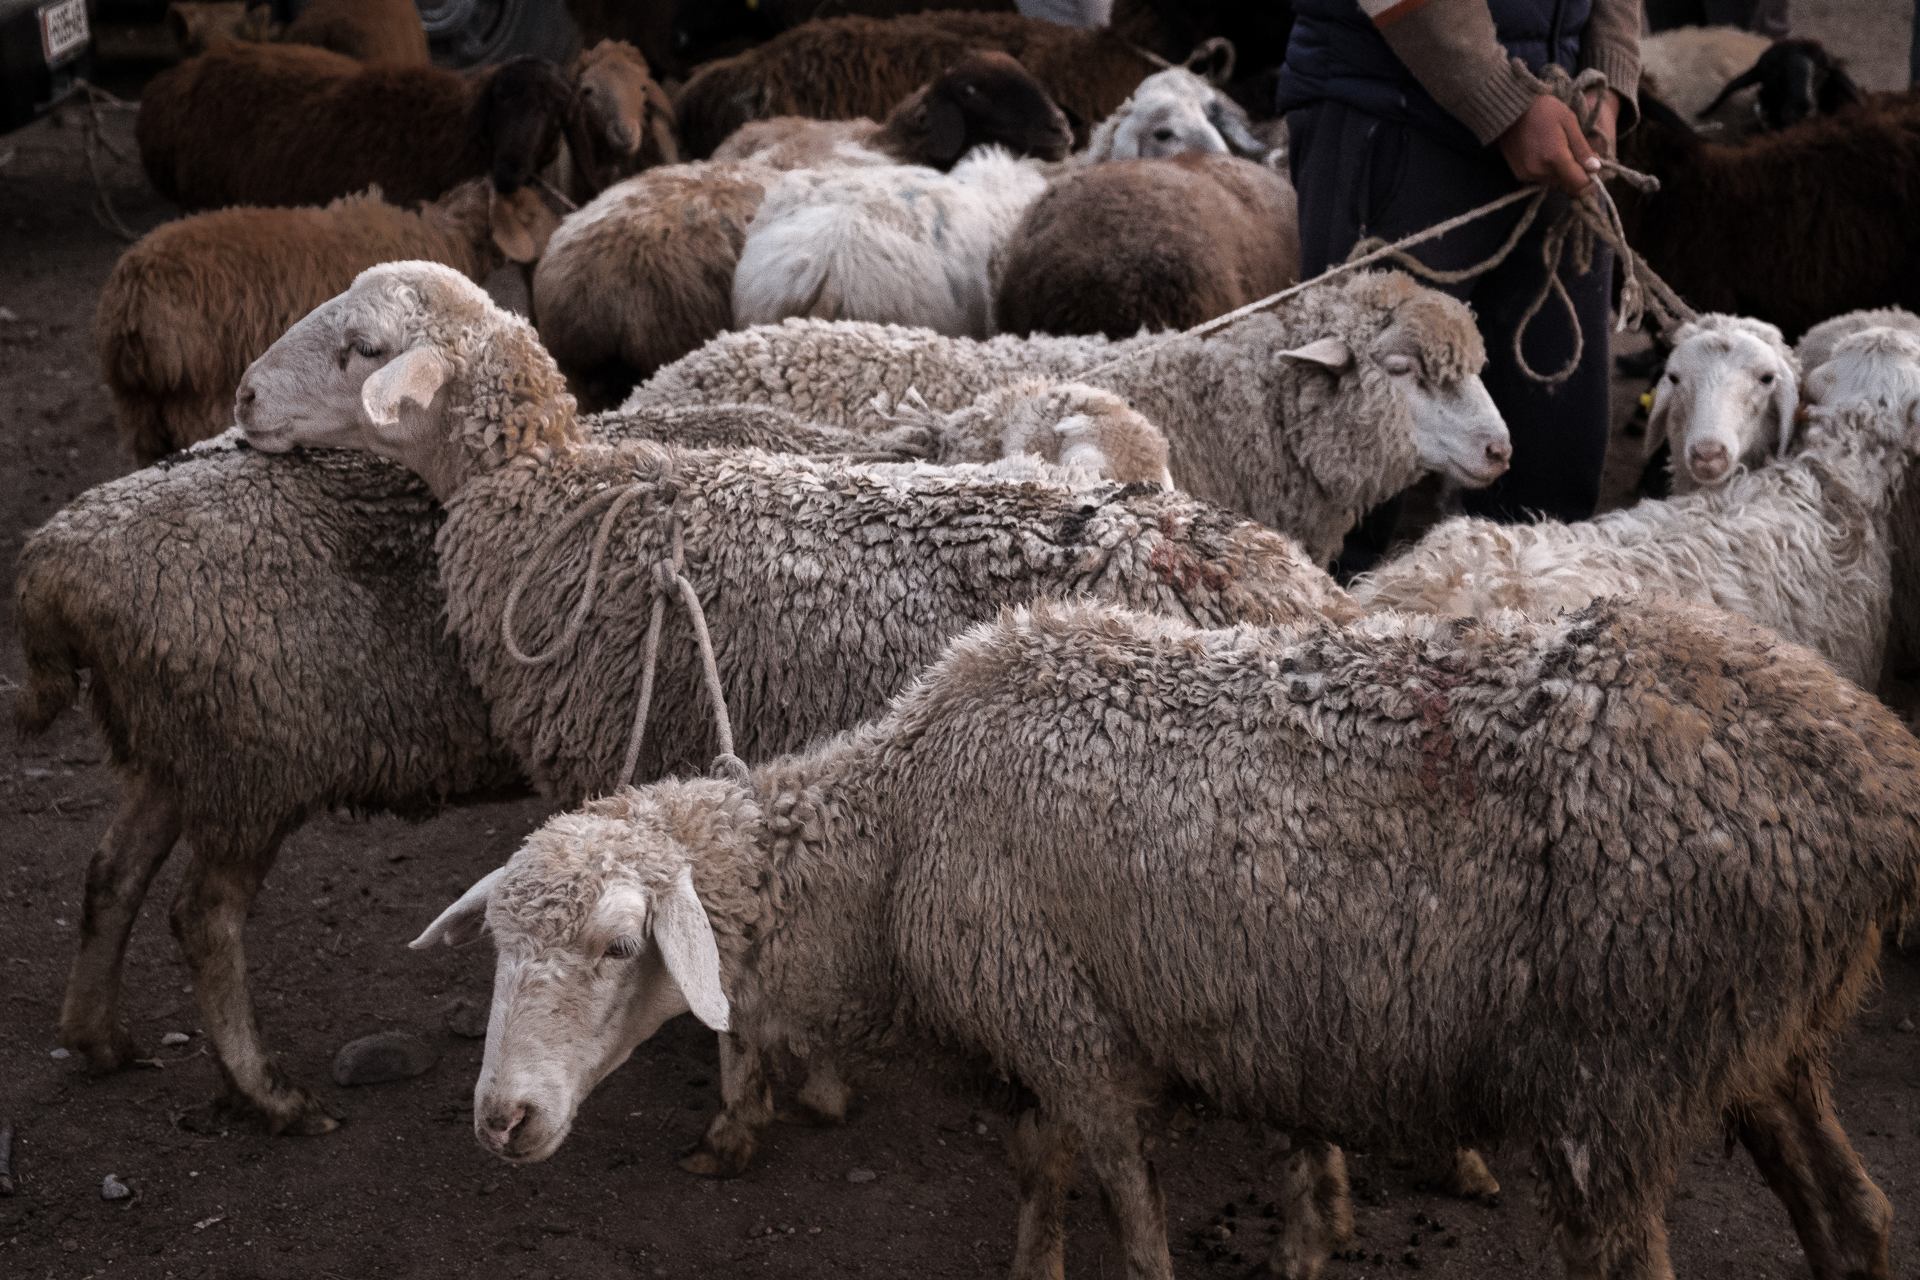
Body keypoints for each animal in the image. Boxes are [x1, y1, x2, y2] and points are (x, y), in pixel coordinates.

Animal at [416, 593, 1920, 1280]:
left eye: (622, 947)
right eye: (498, 949)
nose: (502, 1121)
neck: (904, 821)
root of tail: (1868, 763)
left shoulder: (1074, 1034)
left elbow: (1134, 1221)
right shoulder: (1040, 1030)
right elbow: (1035, 1171)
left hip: (1614, 1066)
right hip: (1766, 1031)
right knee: (1853, 1208)